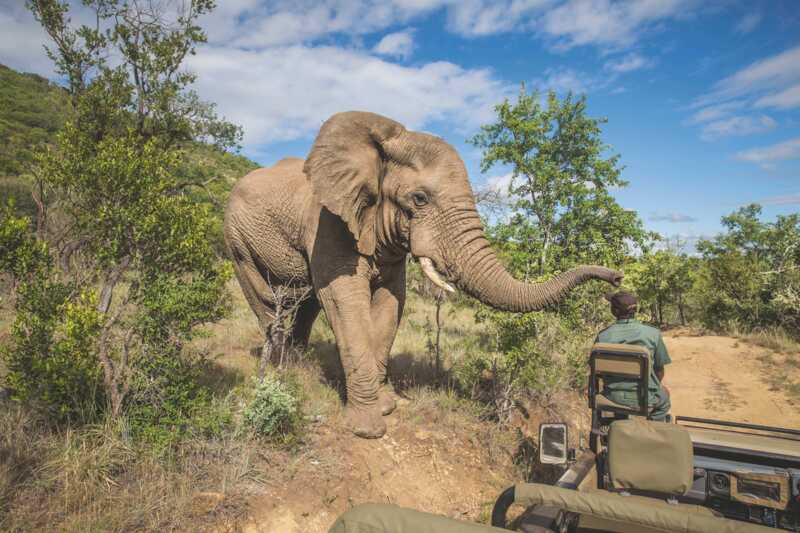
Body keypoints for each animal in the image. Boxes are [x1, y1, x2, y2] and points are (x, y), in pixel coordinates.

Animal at [223, 111, 623, 439]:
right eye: (419, 199)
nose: (617, 278)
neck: (382, 143)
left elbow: (391, 301)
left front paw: (386, 405)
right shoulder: (327, 222)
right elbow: (343, 298)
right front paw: (368, 429)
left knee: (305, 304)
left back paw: (299, 364)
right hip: (237, 241)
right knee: (267, 300)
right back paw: (281, 369)